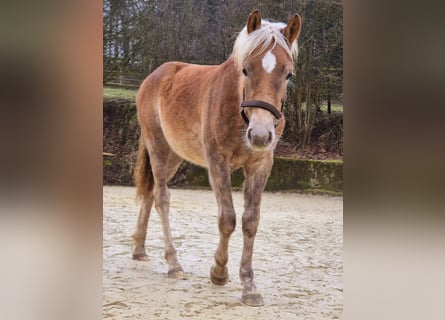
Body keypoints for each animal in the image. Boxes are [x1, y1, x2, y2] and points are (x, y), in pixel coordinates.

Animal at [131, 9, 298, 304]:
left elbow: (250, 221)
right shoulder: (217, 163)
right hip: (158, 148)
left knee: (150, 194)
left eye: (288, 74)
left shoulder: (260, 165)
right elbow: (227, 218)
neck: (238, 108)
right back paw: (173, 264)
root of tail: (155, 75)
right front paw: (219, 272)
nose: (260, 134)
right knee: (161, 198)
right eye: (246, 69)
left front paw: (249, 285)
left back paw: (139, 249)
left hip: (175, 155)